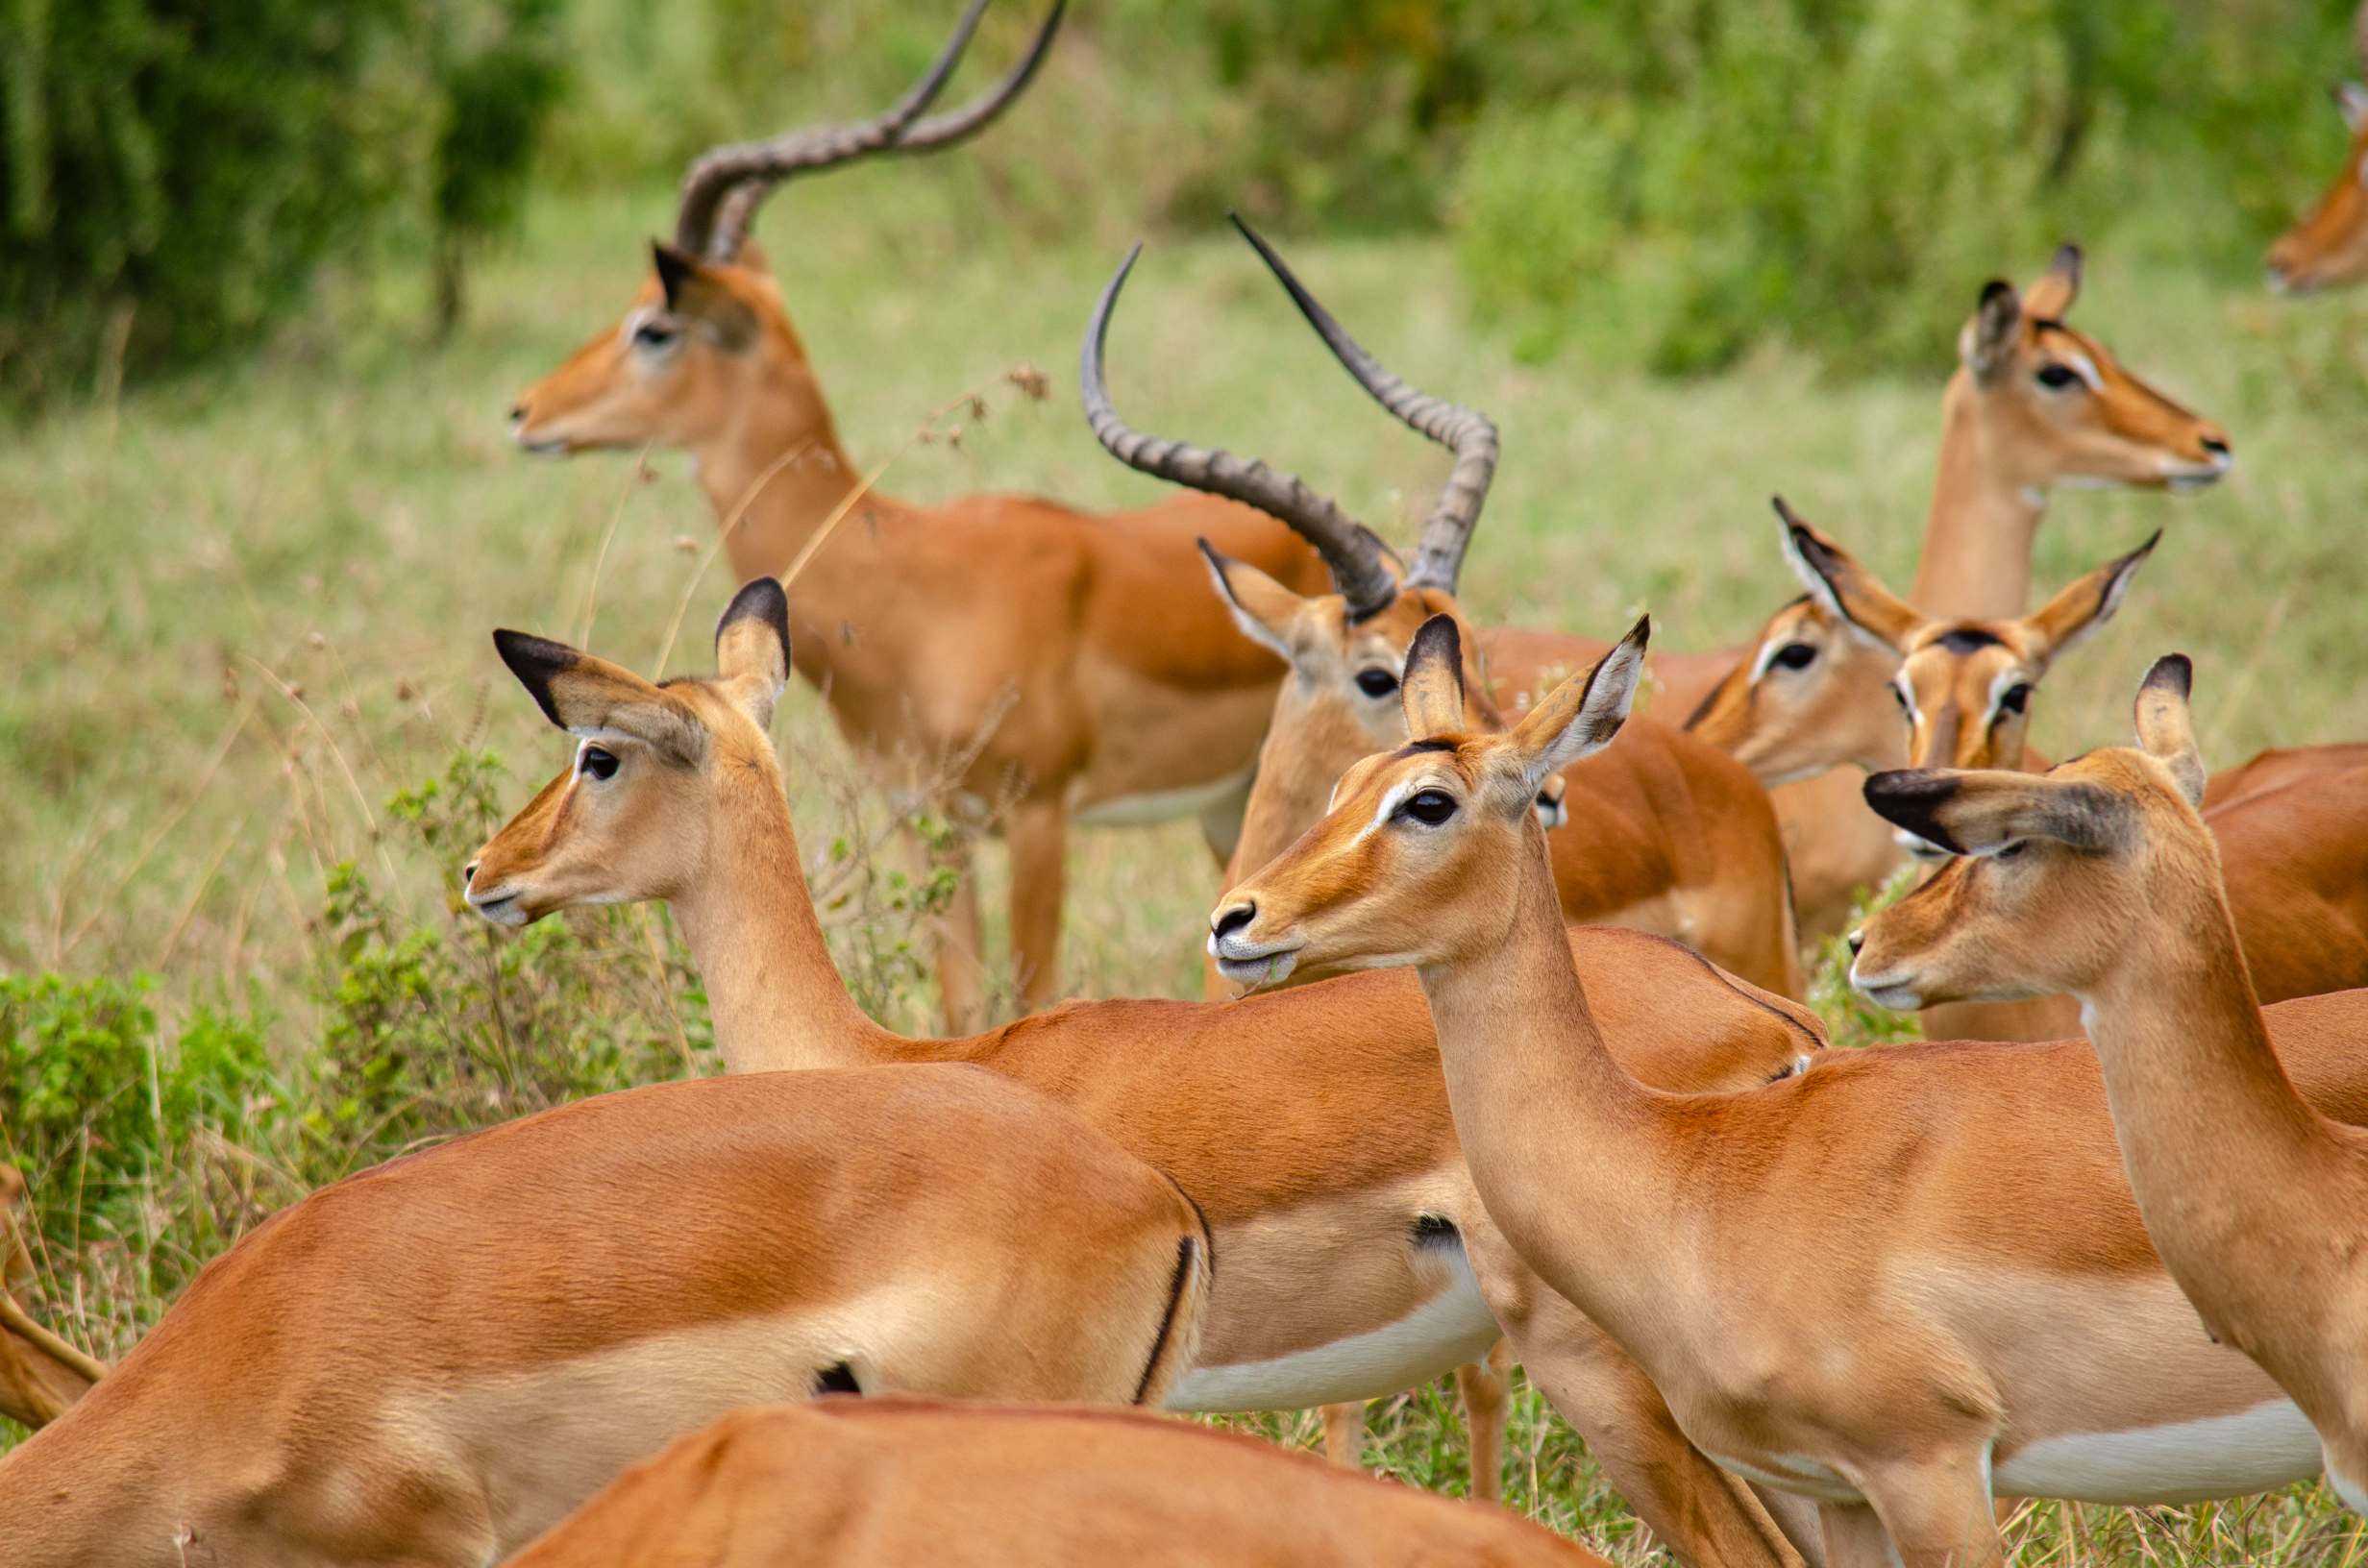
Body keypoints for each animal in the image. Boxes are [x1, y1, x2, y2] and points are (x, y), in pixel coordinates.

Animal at [507, 1, 1329, 1027]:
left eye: (653, 328)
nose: (525, 411)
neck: (902, 577)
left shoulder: (1038, 817)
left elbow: (1027, 995)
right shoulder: (924, 822)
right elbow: (960, 1006)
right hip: (1229, 808)